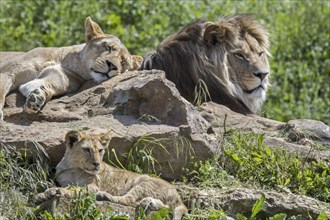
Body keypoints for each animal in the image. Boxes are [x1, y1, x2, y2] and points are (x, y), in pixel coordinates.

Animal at [0, 16, 142, 120]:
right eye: (108, 47)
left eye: (123, 62)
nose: (112, 66)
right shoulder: (8, 72)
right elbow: (1, 90)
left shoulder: (63, 78)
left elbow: (40, 85)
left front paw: (36, 97)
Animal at [37, 130, 187, 219]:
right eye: (87, 150)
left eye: (100, 150)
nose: (96, 164)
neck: (73, 167)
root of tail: (178, 195)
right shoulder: (61, 178)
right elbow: (65, 186)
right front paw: (46, 189)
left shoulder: (93, 187)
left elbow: (71, 189)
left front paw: (46, 193)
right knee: (165, 207)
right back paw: (148, 203)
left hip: (144, 181)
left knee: (128, 201)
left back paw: (104, 196)